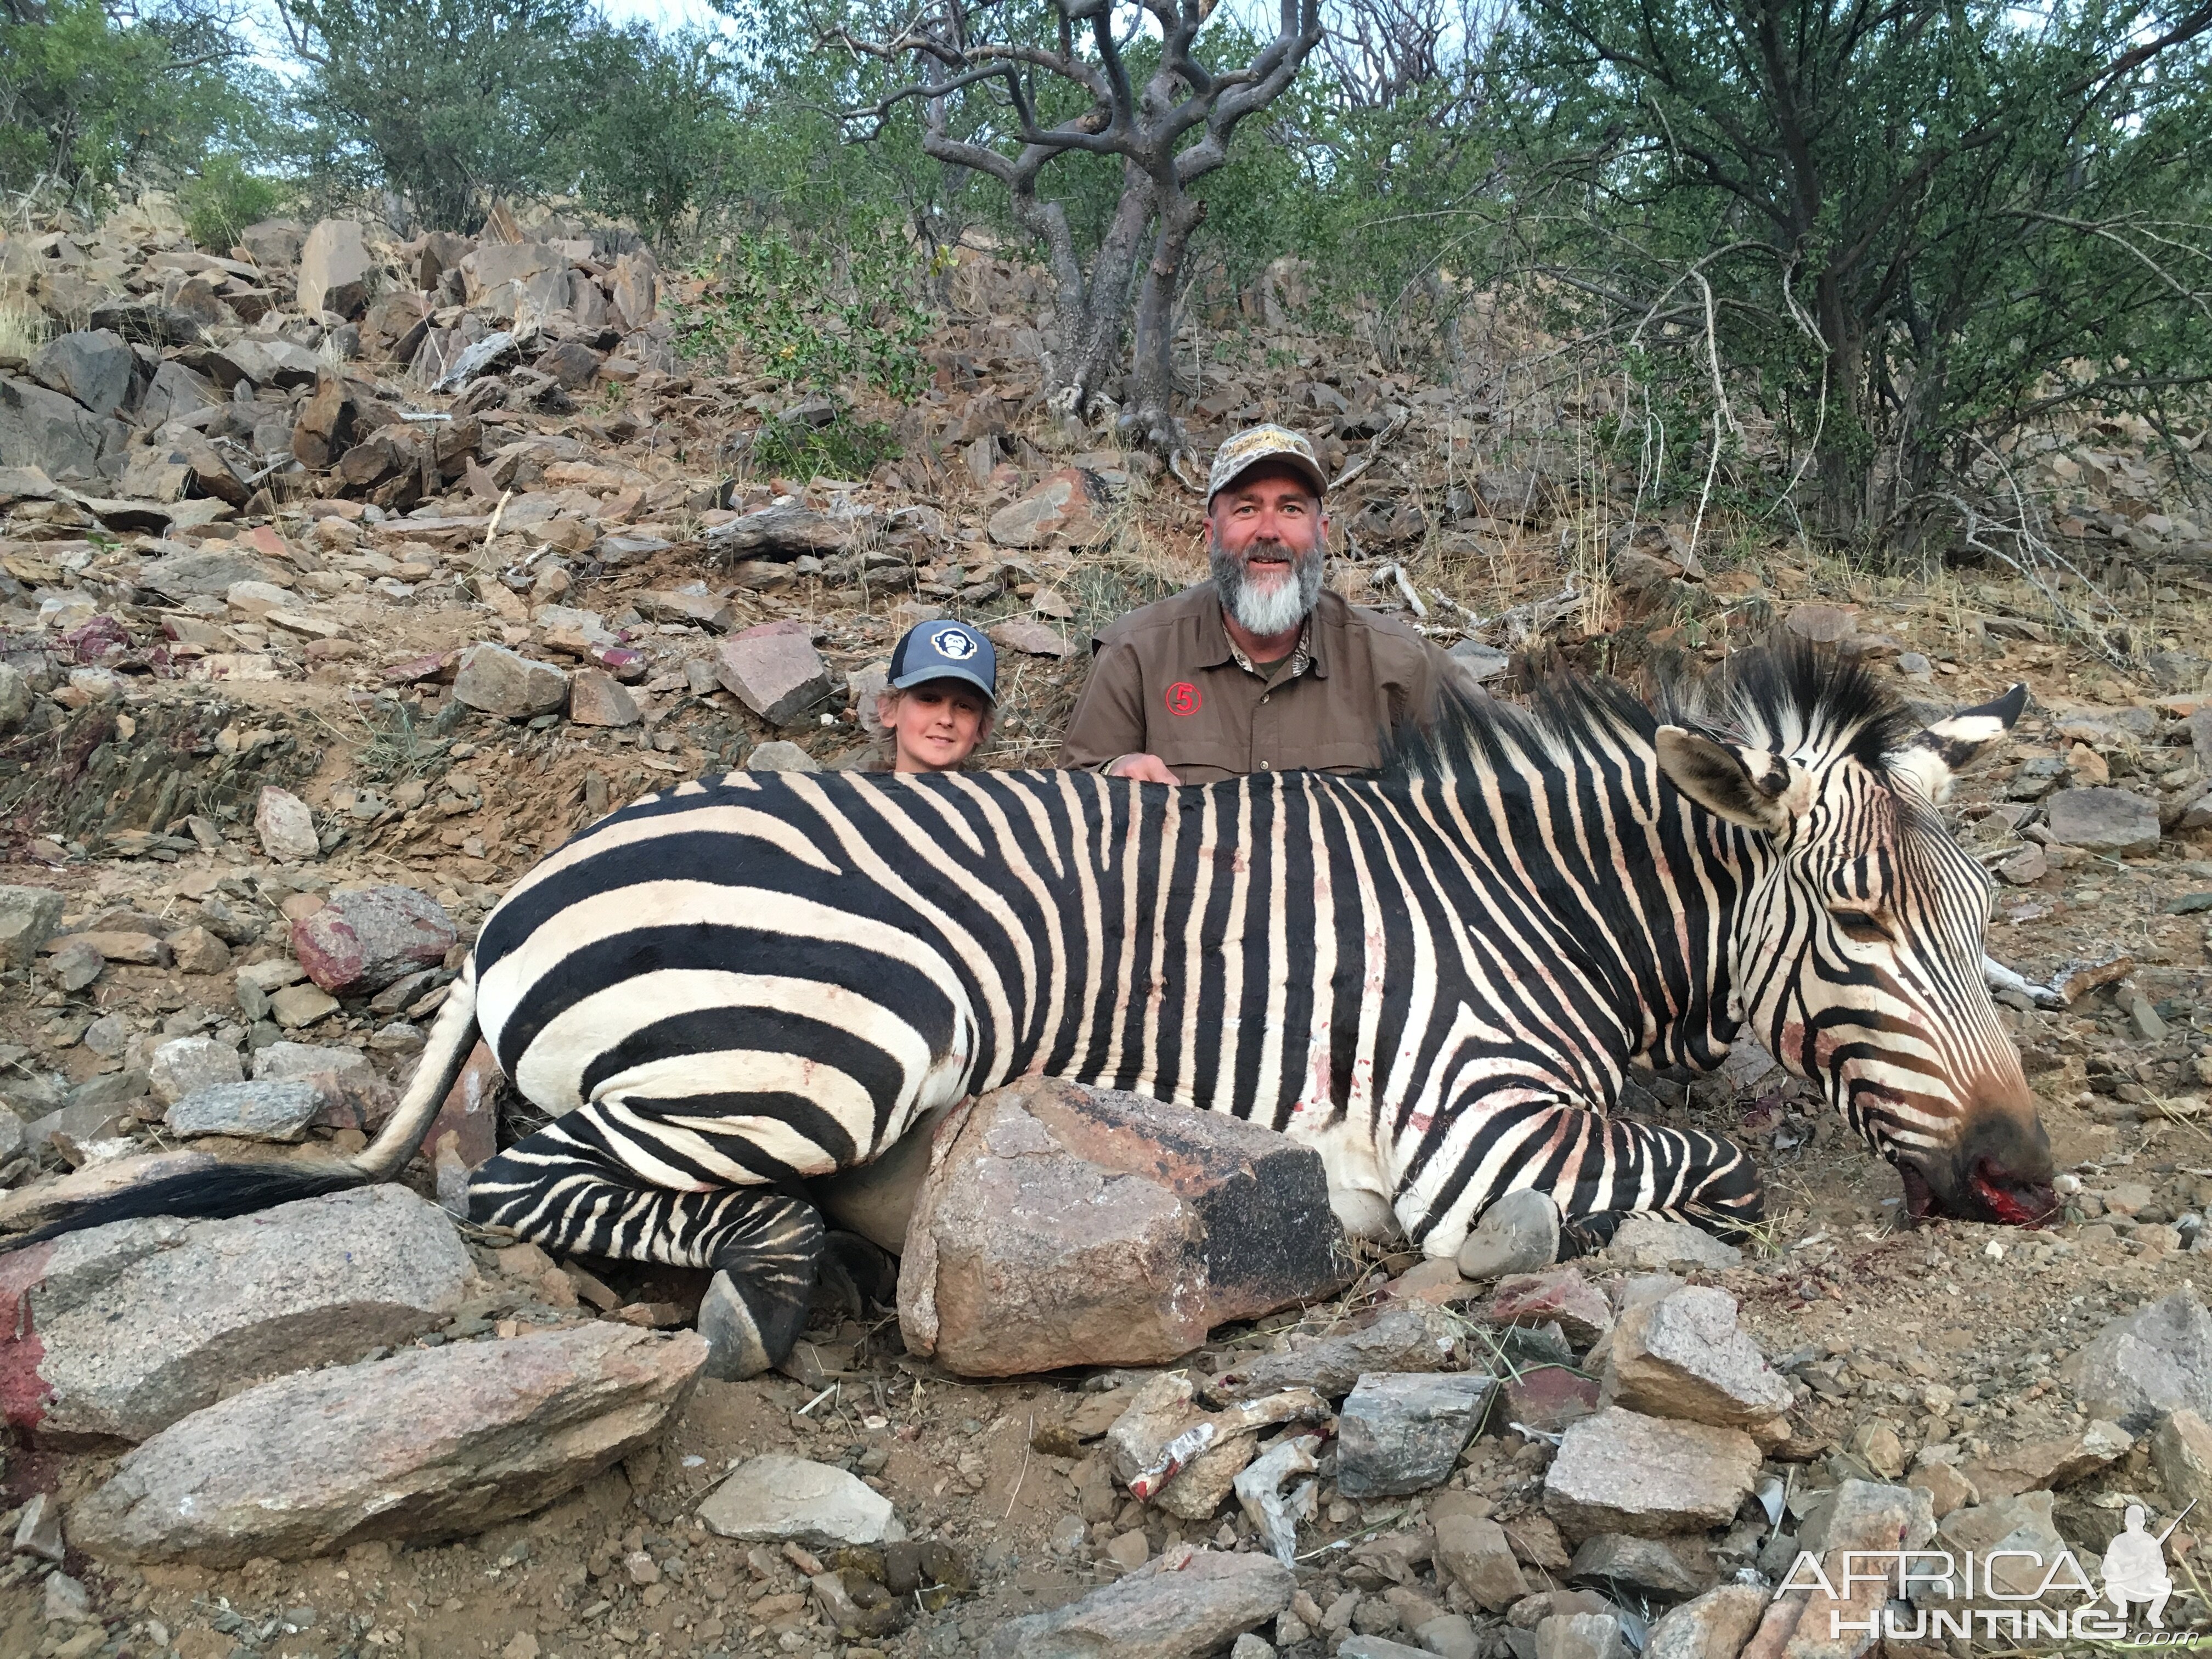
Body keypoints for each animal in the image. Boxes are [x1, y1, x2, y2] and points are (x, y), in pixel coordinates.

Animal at [13, 641, 2052, 1380]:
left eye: (1979, 922)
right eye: (1859, 924)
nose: (2029, 1179)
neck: (1529, 903)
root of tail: (524, 891)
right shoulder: (1485, 1133)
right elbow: (1719, 1173)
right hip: (837, 1037)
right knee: (514, 1183)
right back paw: (775, 1275)